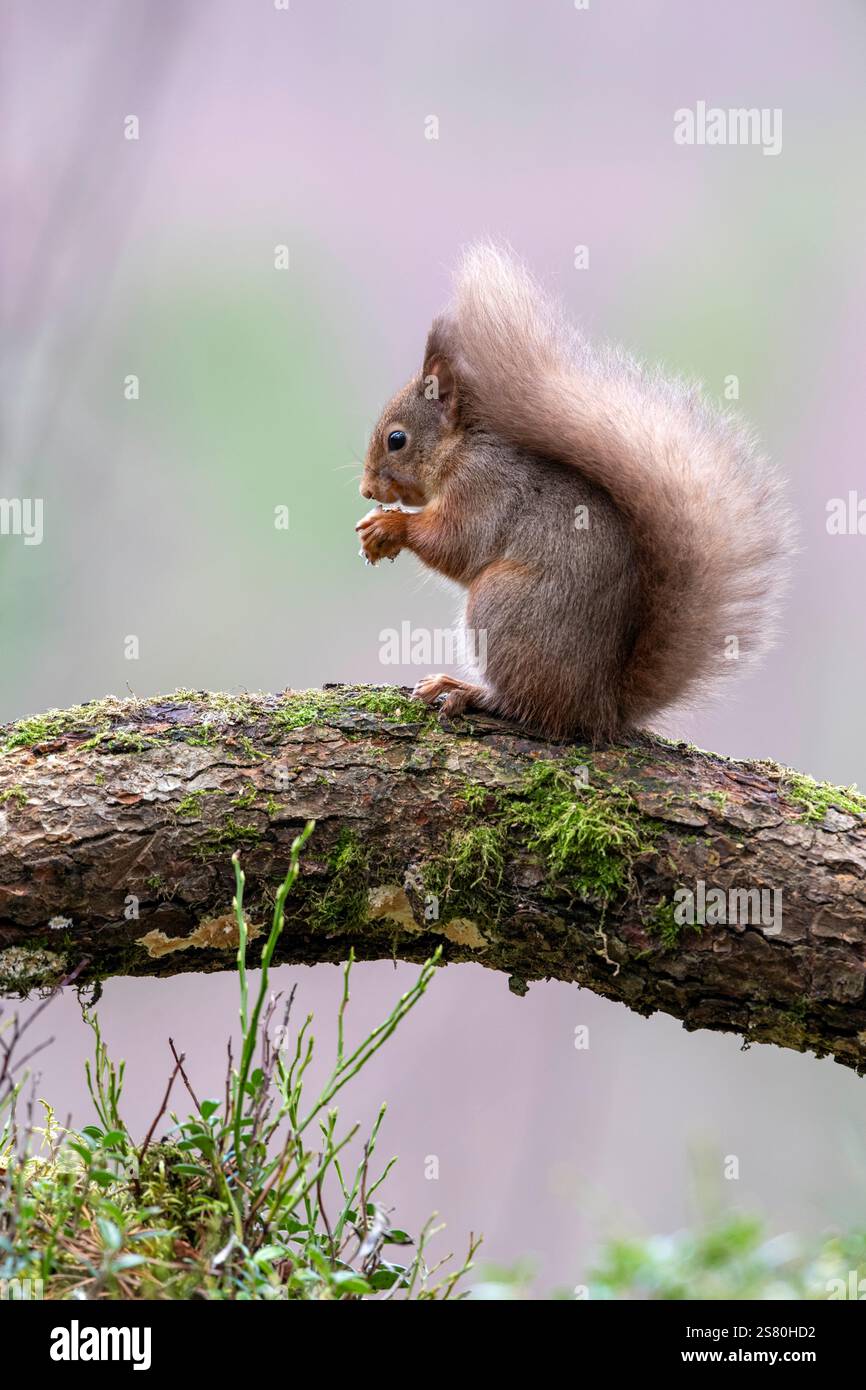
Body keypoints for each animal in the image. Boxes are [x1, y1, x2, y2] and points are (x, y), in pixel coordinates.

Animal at [356, 244, 794, 742]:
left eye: (396, 439)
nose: (366, 489)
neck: (460, 448)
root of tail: (600, 708)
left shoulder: (483, 488)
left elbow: (457, 544)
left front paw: (389, 525)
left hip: (503, 606)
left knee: (530, 706)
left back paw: (470, 691)